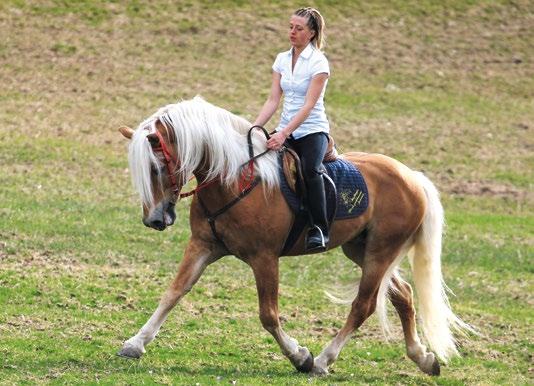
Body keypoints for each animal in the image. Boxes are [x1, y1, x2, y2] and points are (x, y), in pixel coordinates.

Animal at [117, 97, 474, 376]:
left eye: (155, 168)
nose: (153, 220)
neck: (232, 179)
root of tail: (411, 176)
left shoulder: (264, 258)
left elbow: (268, 315)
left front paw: (300, 356)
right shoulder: (203, 246)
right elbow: (173, 293)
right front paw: (135, 343)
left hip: (380, 253)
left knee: (364, 305)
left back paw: (323, 360)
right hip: (361, 249)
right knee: (404, 295)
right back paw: (423, 358)